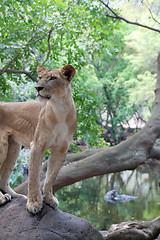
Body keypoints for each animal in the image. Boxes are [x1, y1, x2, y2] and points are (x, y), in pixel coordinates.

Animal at [0, 64, 77, 214]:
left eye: (52, 78)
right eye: (40, 77)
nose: (37, 88)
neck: (60, 108)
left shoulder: (61, 148)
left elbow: (51, 176)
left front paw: (49, 199)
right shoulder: (37, 145)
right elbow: (34, 176)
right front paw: (34, 203)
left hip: (13, 148)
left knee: (3, 177)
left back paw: (16, 196)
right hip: (2, 146)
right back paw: (1, 198)